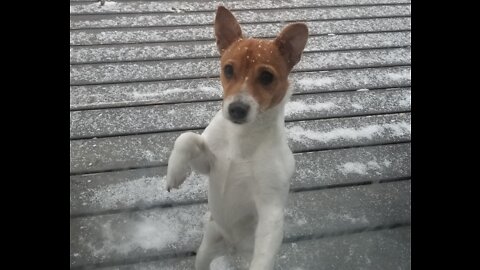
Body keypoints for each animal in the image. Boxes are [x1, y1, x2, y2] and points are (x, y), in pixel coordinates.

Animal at [165, 6, 308, 270]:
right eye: (228, 70)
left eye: (266, 77)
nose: (237, 110)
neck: (242, 141)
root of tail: (232, 247)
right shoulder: (208, 165)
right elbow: (186, 138)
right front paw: (175, 173)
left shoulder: (270, 208)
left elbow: (263, 256)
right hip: (206, 250)